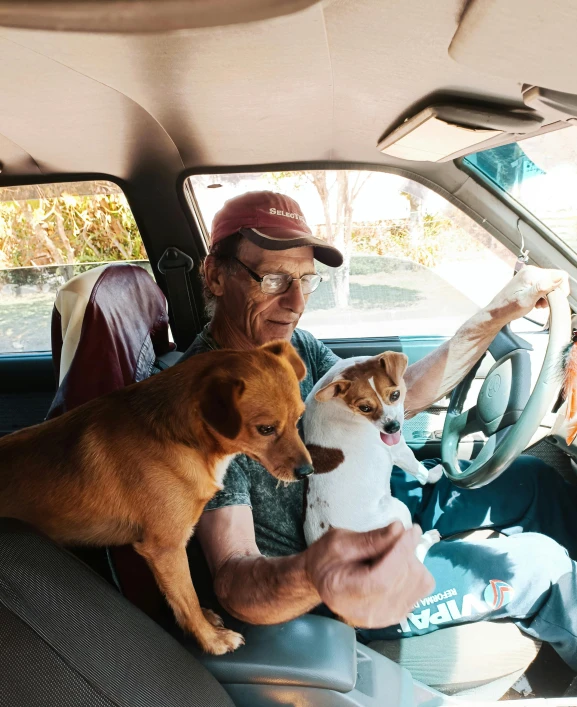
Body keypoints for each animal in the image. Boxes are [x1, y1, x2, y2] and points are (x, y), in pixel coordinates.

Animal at [0, 340, 310, 656]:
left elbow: (184, 596)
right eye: (265, 429)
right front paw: (210, 639)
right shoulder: (165, 548)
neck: (181, 437)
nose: (307, 471)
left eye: (299, 417)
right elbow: (186, 598)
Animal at [304, 352, 444, 560]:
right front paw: (434, 474)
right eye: (365, 408)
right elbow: (420, 469)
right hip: (398, 509)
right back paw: (428, 538)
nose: (392, 427)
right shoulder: (399, 450)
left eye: (395, 395)